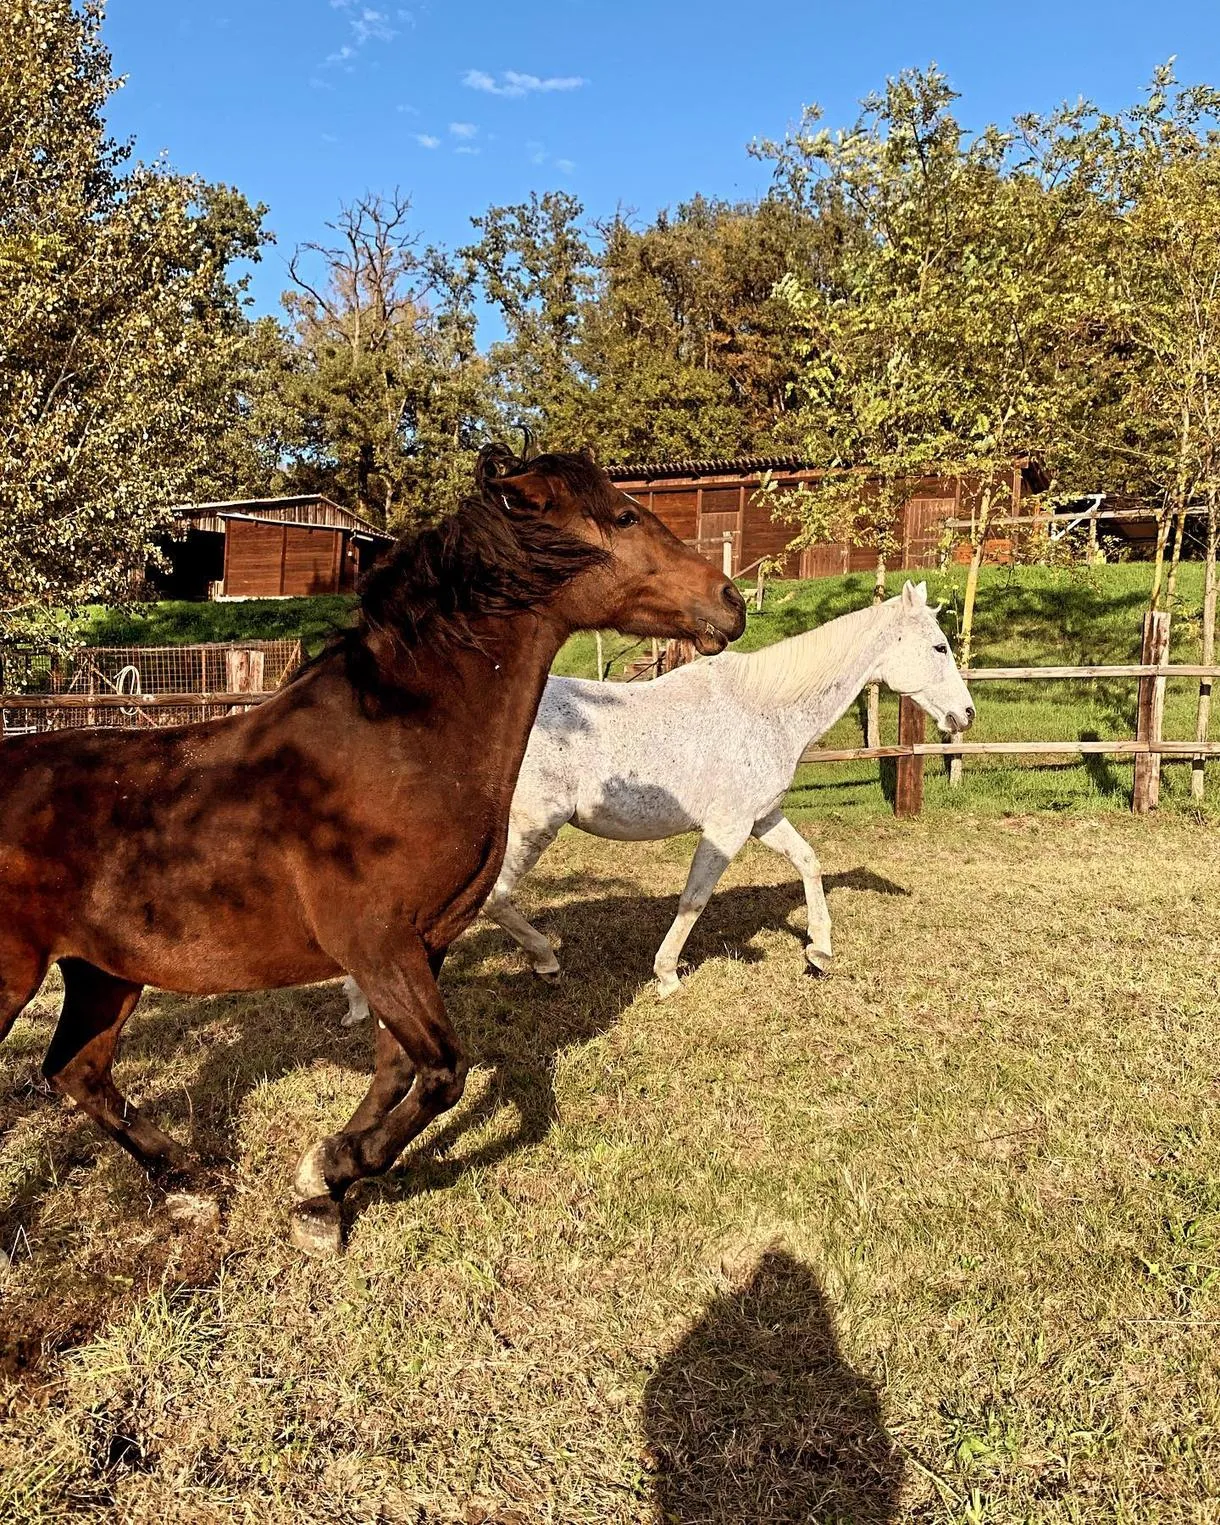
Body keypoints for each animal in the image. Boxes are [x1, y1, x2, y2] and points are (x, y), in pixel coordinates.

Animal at [0, 445, 746, 1256]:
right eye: (625, 516)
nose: (730, 600)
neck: (398, 749)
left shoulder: (424, 943)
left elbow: (397, 1069)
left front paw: (321, 1190)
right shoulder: (378, 943)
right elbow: (444, 1071)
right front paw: (333, 1168)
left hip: (104, 971)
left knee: (77, 1070)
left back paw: (187, 1186)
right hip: (21, 977)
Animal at [342, 579, 972, 1014]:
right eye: (939, 647)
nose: (965, 714)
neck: (762, 709)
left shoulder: (762, 818)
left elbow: (809, 863)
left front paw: (818, 951)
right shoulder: (725, 832)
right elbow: (693, 900)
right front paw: (667, 974)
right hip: (529, 830)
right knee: (493, 899)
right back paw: (545, 961)